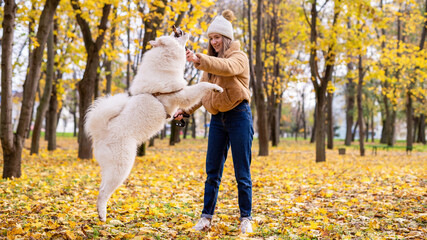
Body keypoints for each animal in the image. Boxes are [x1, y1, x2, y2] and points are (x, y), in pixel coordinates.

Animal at [84, 31, 224, 221]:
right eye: (174, 35)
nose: (180, 30)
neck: (164, 63)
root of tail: (101, 132)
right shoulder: (182, 94)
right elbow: (202, 85)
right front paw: (216, 87)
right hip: (122, 167)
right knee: (103, 192)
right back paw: (102, 215)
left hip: (109, 168)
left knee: (101, 189)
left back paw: (101, 214)